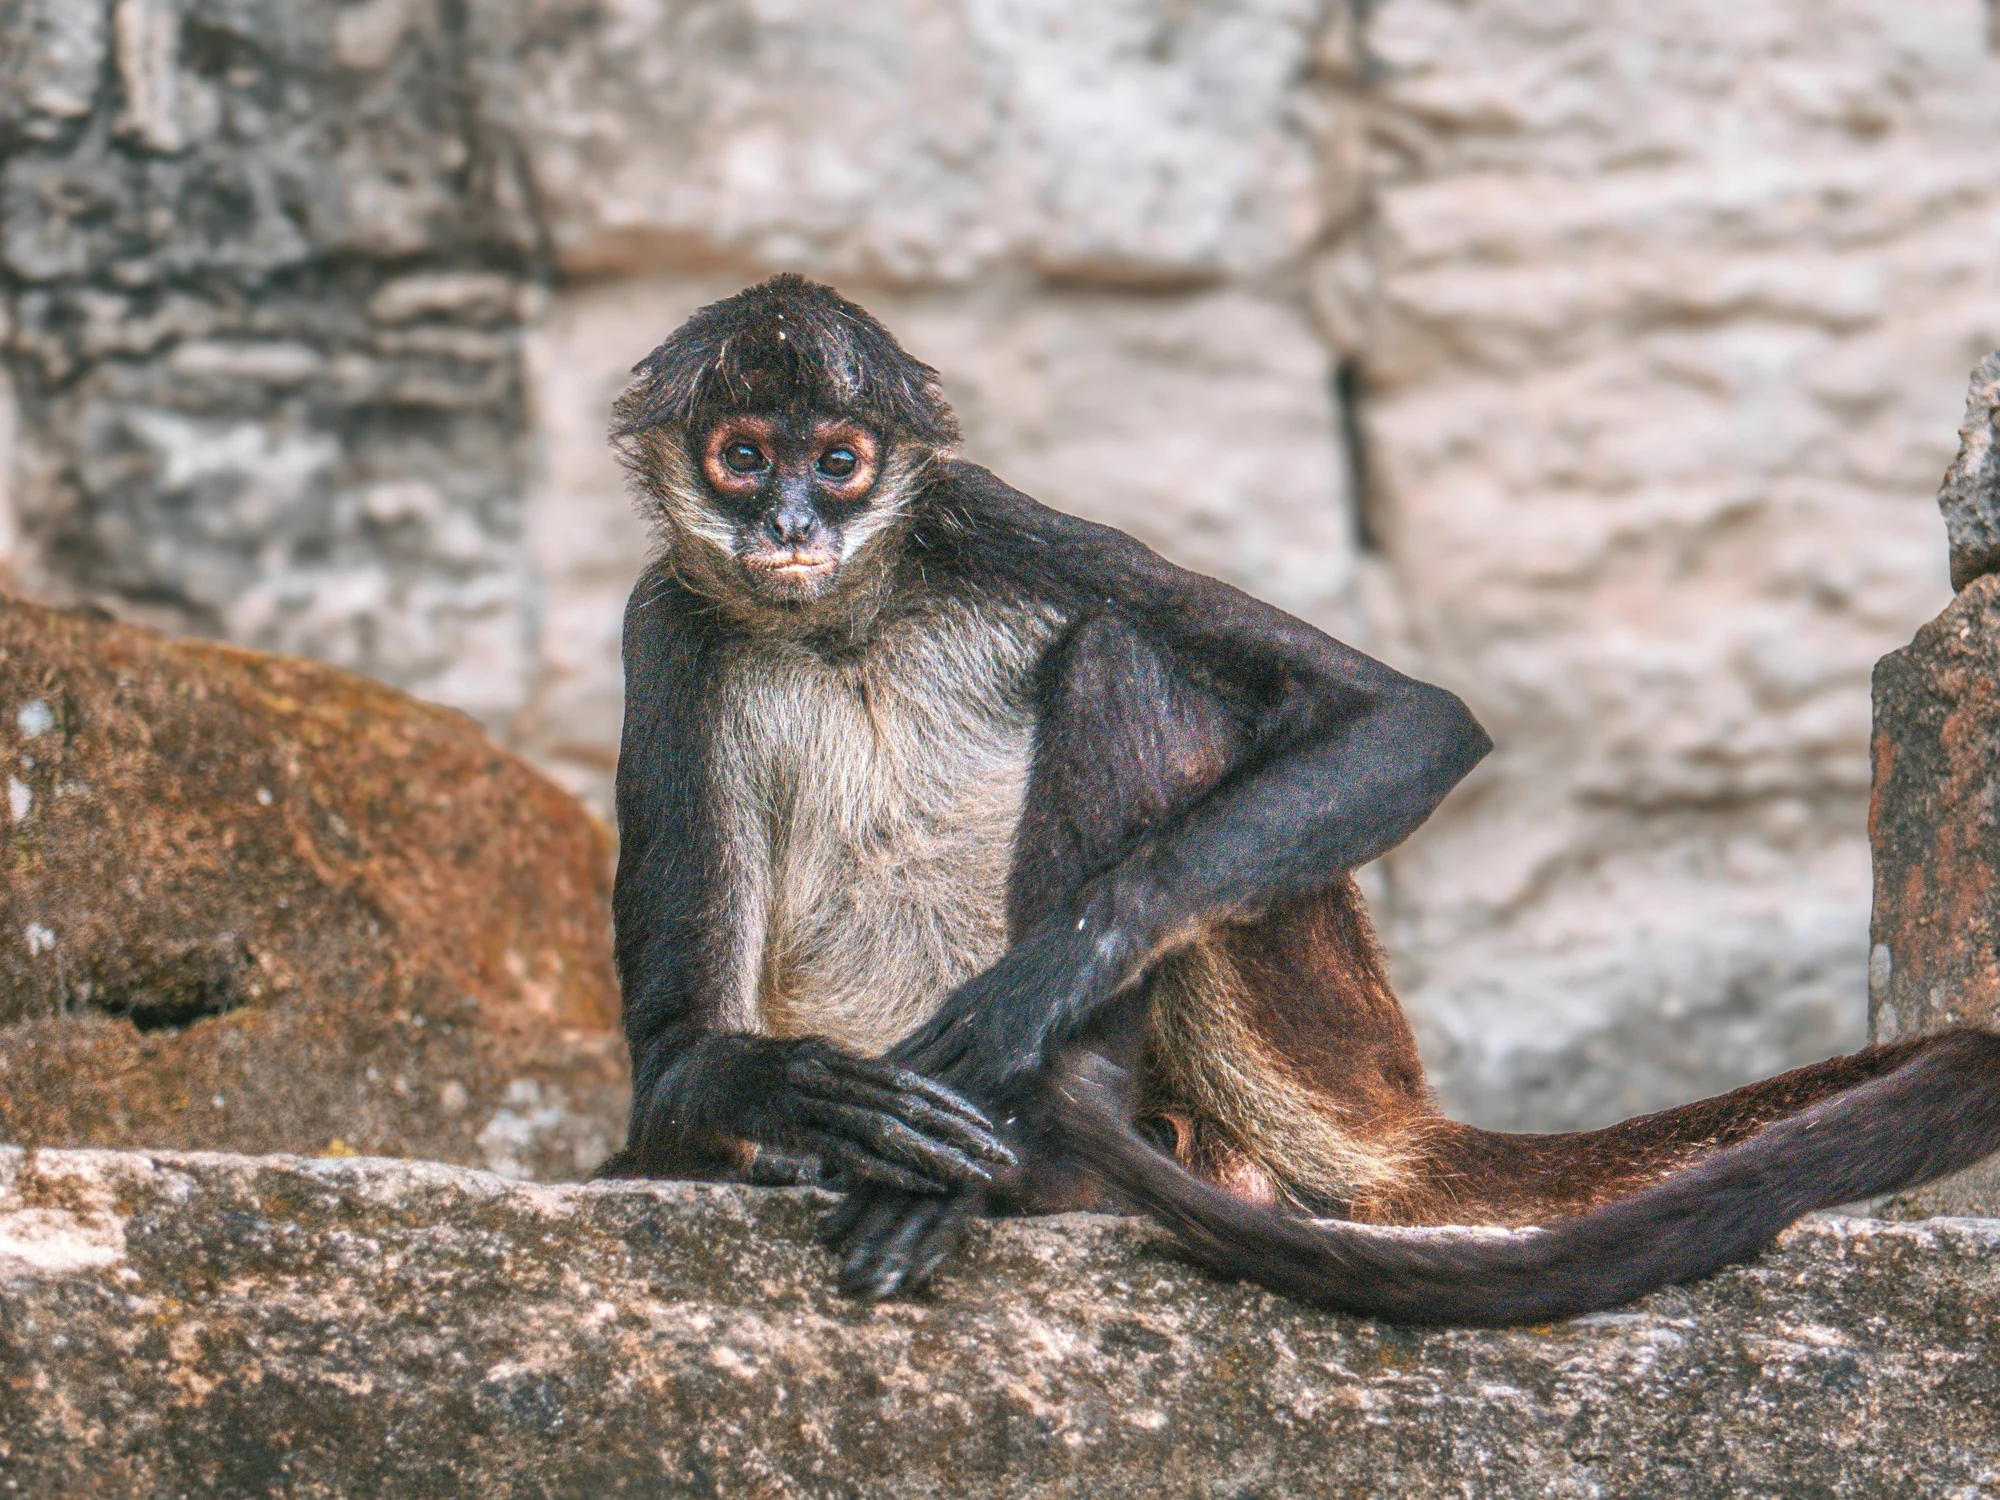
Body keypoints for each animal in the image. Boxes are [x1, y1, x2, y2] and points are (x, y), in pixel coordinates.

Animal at [594, 272, 2000, 1326]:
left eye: (836, 462)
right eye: (739, 459)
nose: (788, 523)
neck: (842, 623)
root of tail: (1396, 1116)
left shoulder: (983, 514)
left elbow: (1406, 718)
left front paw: (1022, 1003)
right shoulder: (659, 627)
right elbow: (669, 1060)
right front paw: (797, 1098)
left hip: (1317, 1033)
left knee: (1127, 649)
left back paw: (1043, 1151)